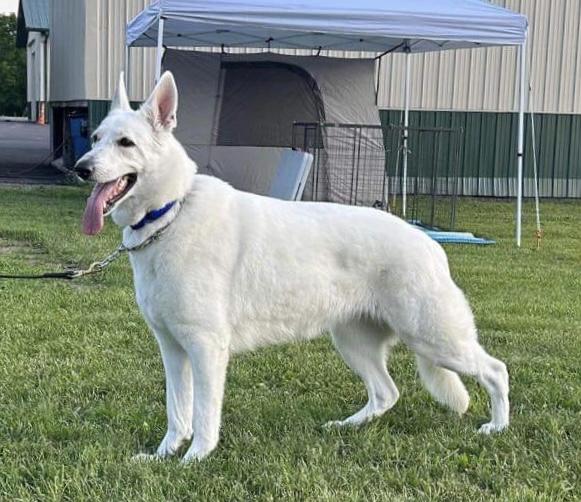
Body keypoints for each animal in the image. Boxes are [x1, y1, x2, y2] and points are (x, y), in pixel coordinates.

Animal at [76, 71, 508, 462]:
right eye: (95, 138)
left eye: (126, 143)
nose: (80, 168)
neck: (172, 212)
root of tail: (431, 245)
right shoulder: (172, 348)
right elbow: (177, 412)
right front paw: (164, 455)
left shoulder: (205, 348)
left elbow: (202, 415)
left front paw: (194, 459)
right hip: (354, 343)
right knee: (387, 393)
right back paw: (347, 427)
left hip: (435, 340)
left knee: (496, 370)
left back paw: (496, 427)